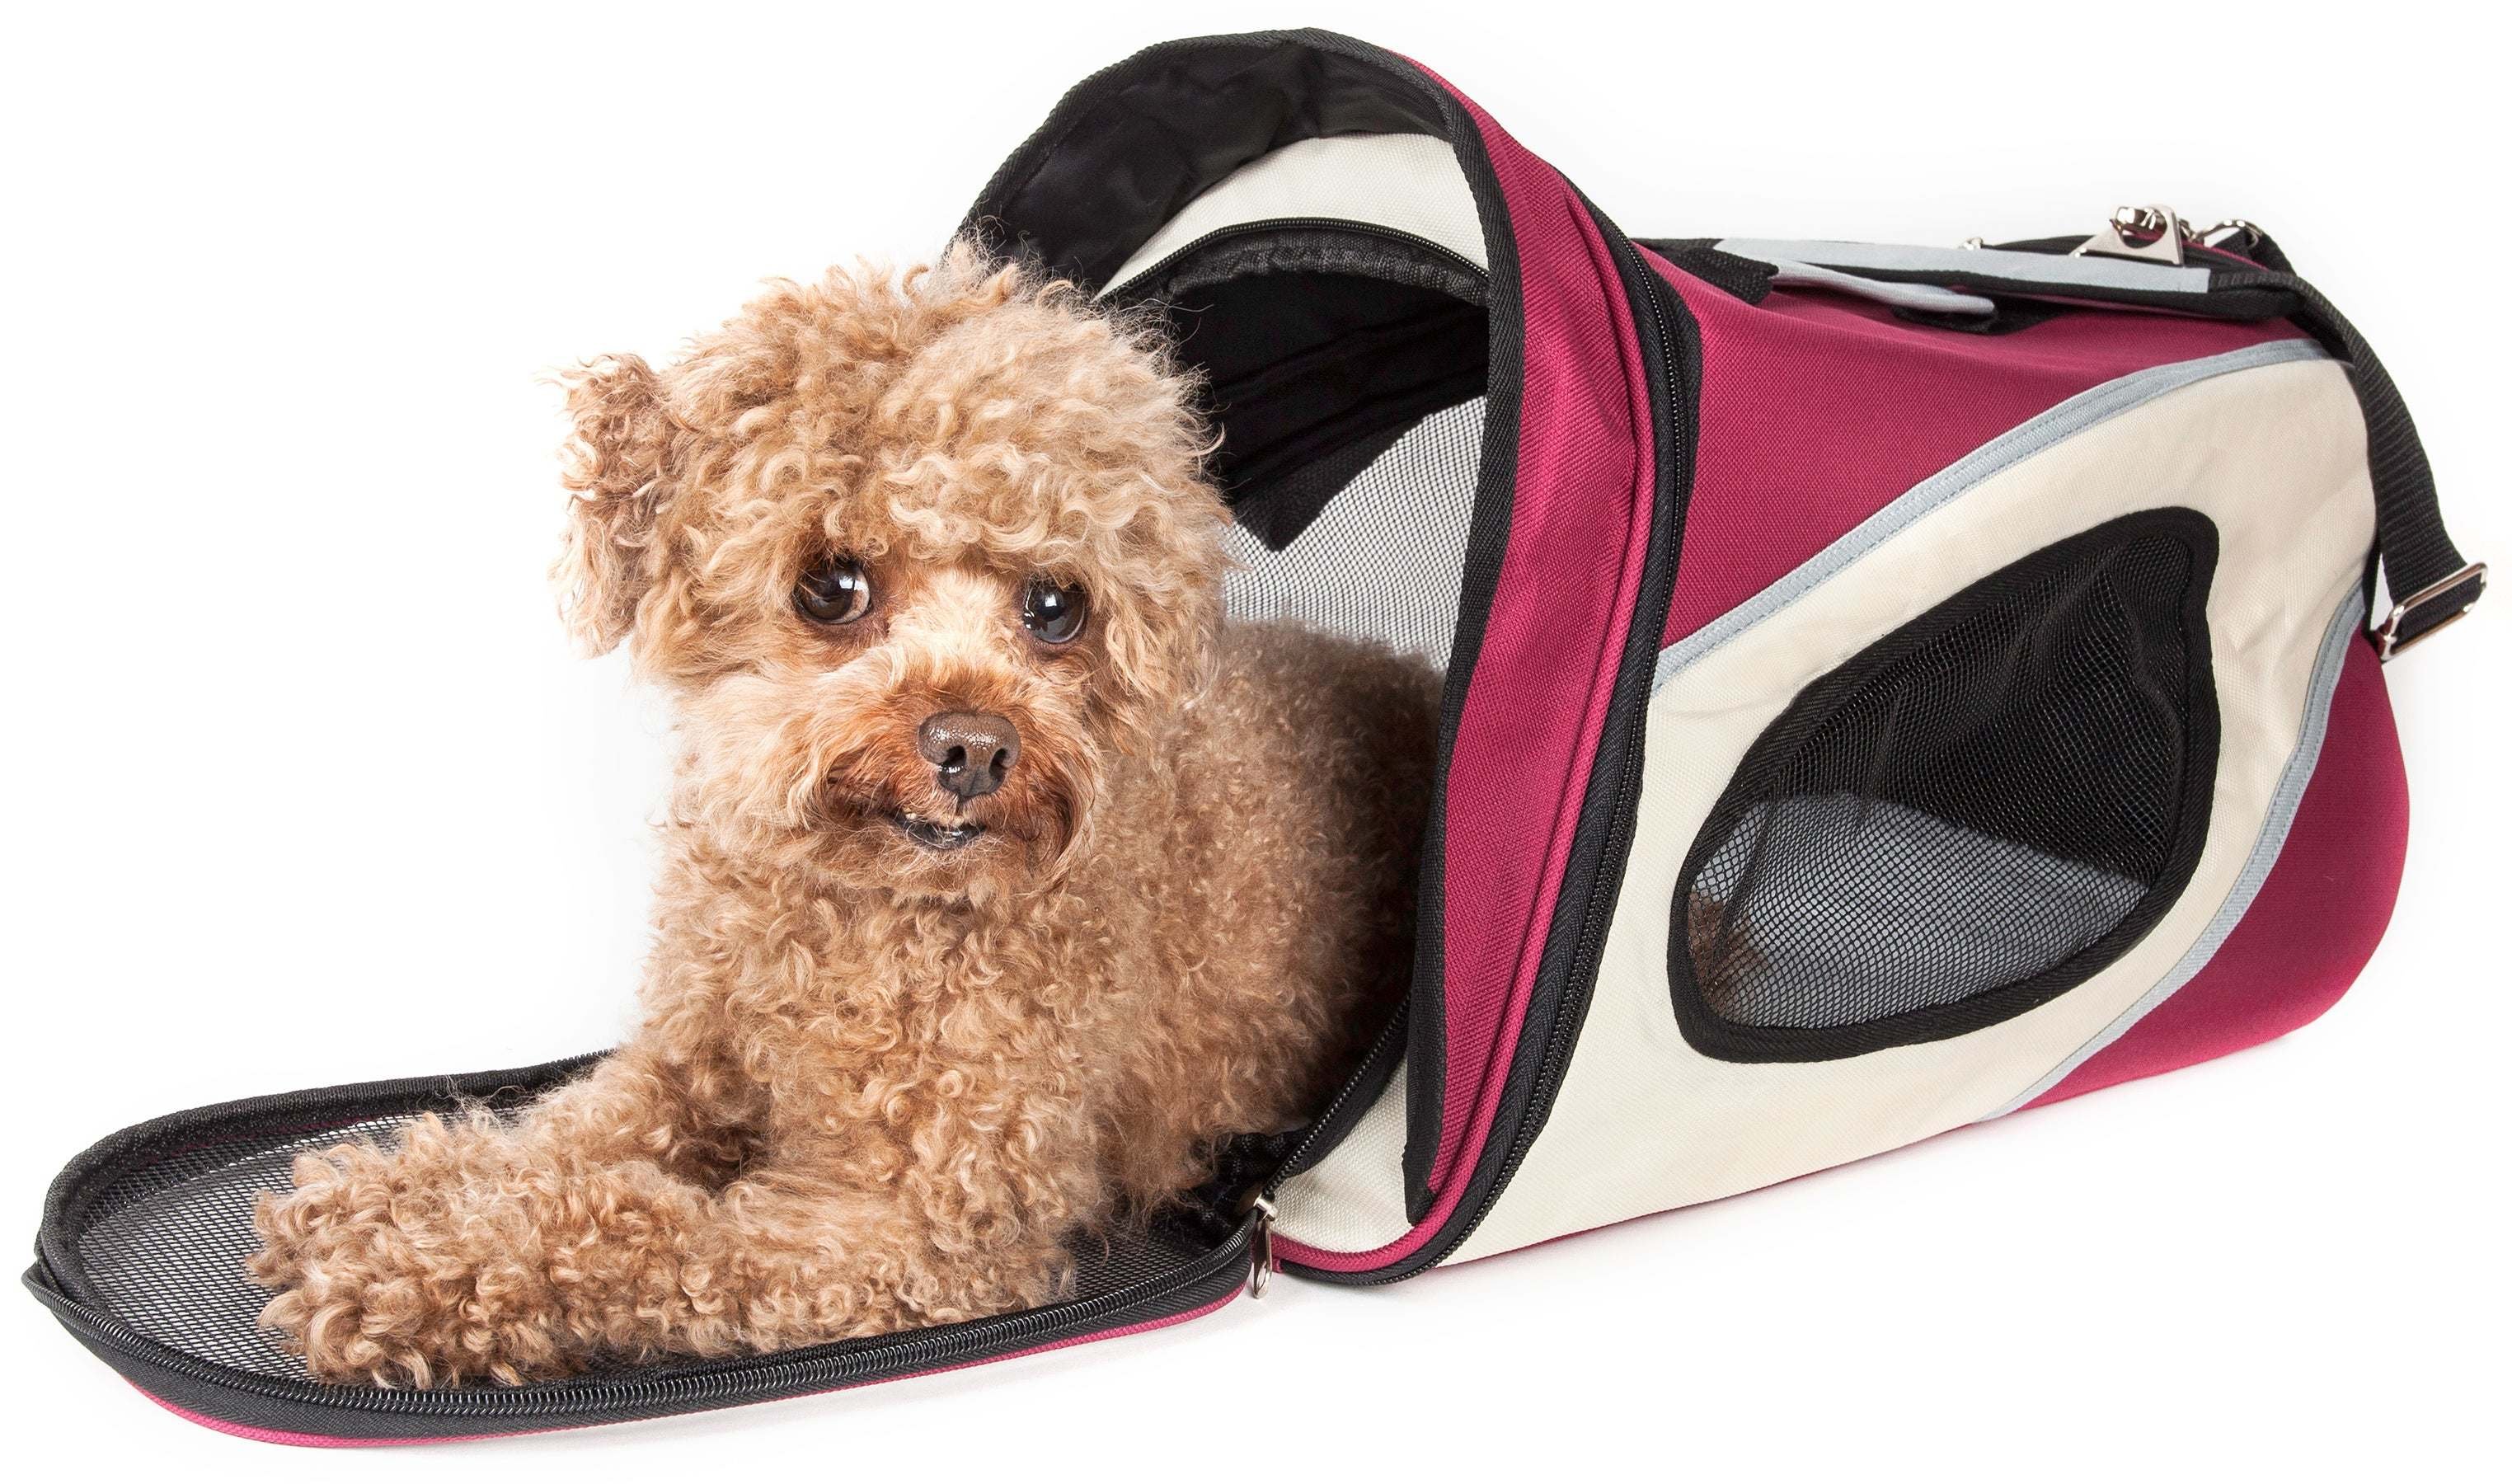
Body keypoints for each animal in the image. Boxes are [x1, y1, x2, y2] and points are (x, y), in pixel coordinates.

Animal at [246, 246, 1439, 1387]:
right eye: (831, 586)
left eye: (1055, 608)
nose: (973, 747)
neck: (859, 919)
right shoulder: (684, 1066)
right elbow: (555, 1135)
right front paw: (393, 1191)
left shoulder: (921, 1227)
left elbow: (650, 1232)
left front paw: (422, 1267)